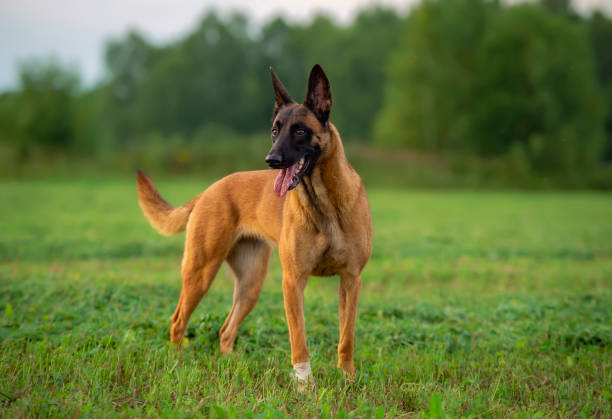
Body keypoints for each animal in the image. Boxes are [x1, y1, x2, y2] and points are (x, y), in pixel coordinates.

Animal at [136, 65, 370, 384]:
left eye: (300, 130)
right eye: (274, 130)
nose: (271, 159)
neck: (325, 204)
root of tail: (209, 190)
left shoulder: (351, 280)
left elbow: (346, 338)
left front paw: (347, 379)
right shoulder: (293, 281)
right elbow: (299, 340)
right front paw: (305, 385)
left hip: (250, 284)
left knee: (225, 331)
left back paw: (229, 364)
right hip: (201, 272)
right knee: (178, 321)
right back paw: (177, 363)